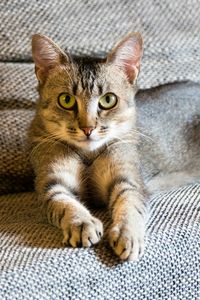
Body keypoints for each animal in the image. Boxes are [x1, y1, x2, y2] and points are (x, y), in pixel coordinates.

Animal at [28, 32, 146, 262]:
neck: (88, 155)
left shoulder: (128, 180)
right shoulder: (51, 183)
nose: (88, 128)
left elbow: (130, 204)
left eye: (108, 100)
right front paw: (82, 223)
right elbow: (64, 203)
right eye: (66, 100)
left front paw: (127, 233)